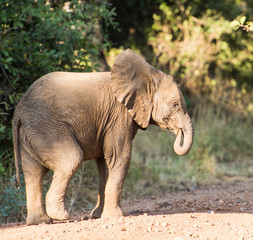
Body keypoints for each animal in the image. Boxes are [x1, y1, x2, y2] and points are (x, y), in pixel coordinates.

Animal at [12, 48, 194, 225]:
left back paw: (40, 221)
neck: (148, 74)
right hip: (47, 129)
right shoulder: (118, 116)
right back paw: (60, 216)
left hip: (31, 133)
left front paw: (99, 215)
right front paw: (115, 216)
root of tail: (19, 109)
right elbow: (120, 156)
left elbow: (105, 163)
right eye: (175, 105)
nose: (178, 132)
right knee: (70, 158)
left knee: (33, 172)